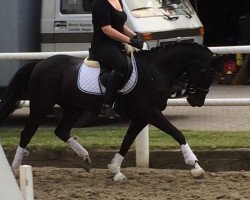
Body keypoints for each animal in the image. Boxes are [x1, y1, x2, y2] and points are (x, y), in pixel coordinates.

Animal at [0, 41, 222, 178]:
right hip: (41, 105)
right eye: (206, 72)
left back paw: (85, 158)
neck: (156, 70)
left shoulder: (142, 117)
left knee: (61, 130)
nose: (197, 100)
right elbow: (177, 133)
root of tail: (40, 63)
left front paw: (115, 169)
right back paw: (15, 169)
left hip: (74, 108)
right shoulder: (150, 113)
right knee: (26, 133)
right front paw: (195, 166)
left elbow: (127, 141)